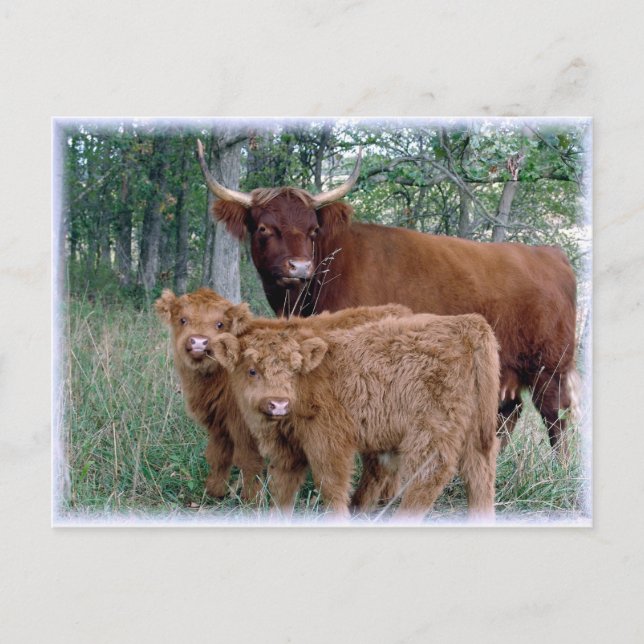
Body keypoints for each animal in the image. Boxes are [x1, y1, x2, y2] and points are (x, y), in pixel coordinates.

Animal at [196, 140, 578, 458]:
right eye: (264, 228)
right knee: (508, 414)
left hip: (550, 366)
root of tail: (551, 254)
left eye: (313, 230)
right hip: (506, 370)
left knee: (555, 416)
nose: (300, 266)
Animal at [212, 313, 501, 521]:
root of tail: (465, 322)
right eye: (252, 370)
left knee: (430, 475)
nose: (279, 403)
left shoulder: (329, 443)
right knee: (479, 474)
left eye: (294, 369)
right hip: (475, 431)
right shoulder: (286, 450)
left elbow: (331, 485)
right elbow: (283, 489)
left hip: (431, 430)